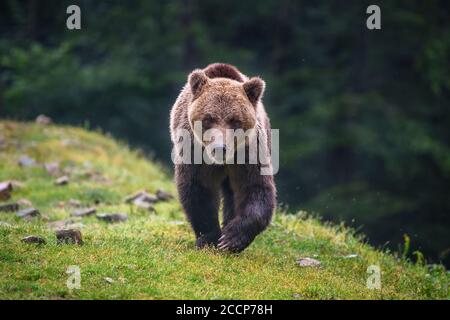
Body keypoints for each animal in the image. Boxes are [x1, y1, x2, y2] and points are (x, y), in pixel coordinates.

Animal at [169, 63, 274, 252]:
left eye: (235, 120)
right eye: (208, 118)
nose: (220, 148)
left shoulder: (248, 154)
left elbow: (255, 188)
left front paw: (231, 239)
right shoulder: (195, 153)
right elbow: (198, 190)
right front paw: (209, 239)